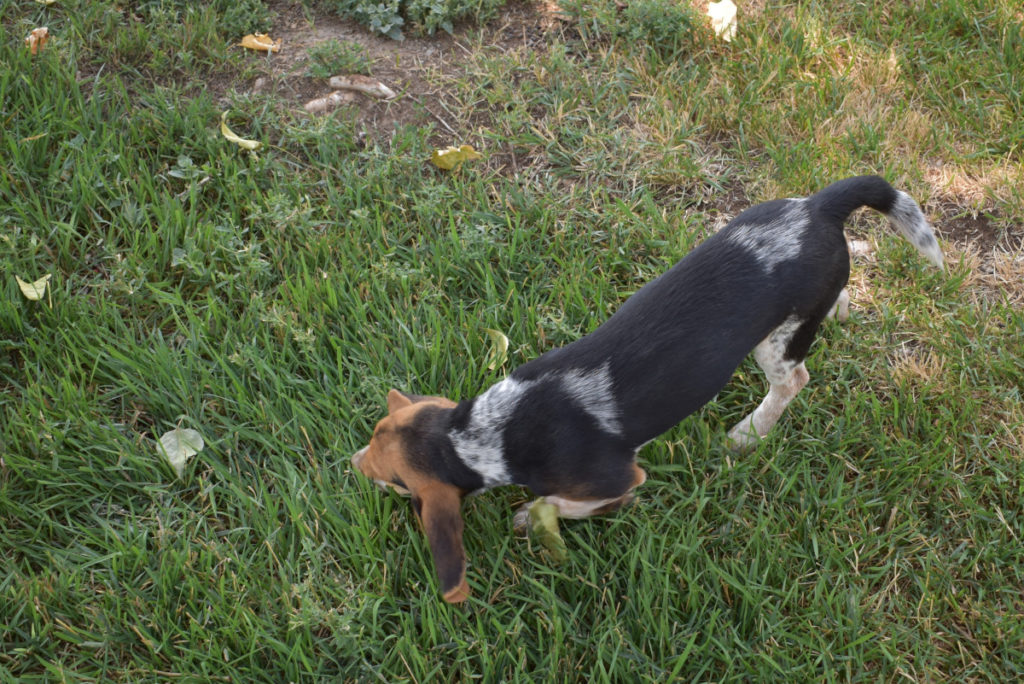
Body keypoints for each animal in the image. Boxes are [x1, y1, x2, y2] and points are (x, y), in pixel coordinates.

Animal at [352, 174, 942, 602]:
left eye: (395, 481)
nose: (352, 464)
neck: (486, 431)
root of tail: (819, 206)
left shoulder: (617, 476)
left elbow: (565, 502)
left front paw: (529, 516)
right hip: (802, 308)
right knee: (834, 301)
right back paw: (839, 311)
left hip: (774, 349)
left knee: (794, 379)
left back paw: (750, 432)